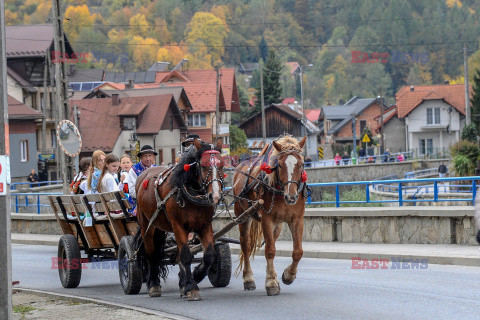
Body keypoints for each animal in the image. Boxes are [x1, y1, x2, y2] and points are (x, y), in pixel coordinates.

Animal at [135, 139, 225, 302]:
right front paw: (191, 287)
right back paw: (154, 284)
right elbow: (186, 256)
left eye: (221, 165)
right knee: (151, 253)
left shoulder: (204, 226)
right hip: (147, 225)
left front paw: (195, 275)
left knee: (176, 255)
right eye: (203, 165)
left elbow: (209, 255)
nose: (215, 196)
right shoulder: (178, 226)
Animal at [232, 135, 308, 296]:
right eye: (280, 165)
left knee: (271, 240)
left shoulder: (297, 220)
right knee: (245, 245)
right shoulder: (267, 219)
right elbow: (270, 251)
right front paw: (271, 282)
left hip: (277, 225)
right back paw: (248, 278)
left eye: (301, 164)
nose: (291, 197)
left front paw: (288, 276)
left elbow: (298, 252)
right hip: (243, 215)